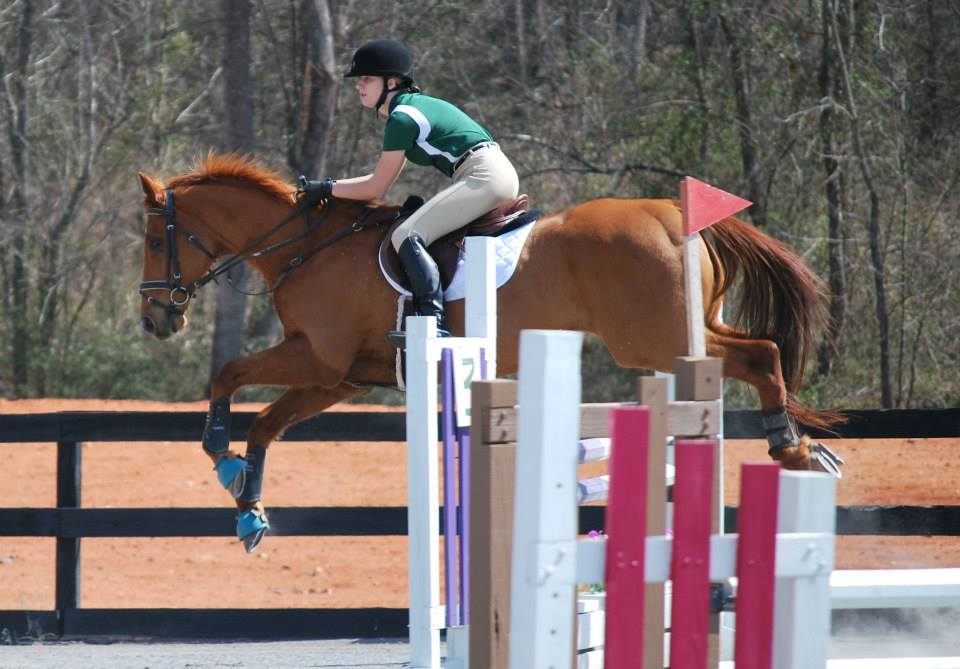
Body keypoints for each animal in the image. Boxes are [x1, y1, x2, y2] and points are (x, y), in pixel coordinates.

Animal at [137, 154, 842, 552]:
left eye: (151, 240)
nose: (155, 319)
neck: (305, 247)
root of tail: (674, 213)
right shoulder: (343, 378)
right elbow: (265, 423)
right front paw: (247, 507)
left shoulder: (319, 359)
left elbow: (229, 374)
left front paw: (217, 451)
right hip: (684, 331)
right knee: (757, 353)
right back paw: (801, 448)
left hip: (655, 339)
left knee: (761, 356)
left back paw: (790, 445)